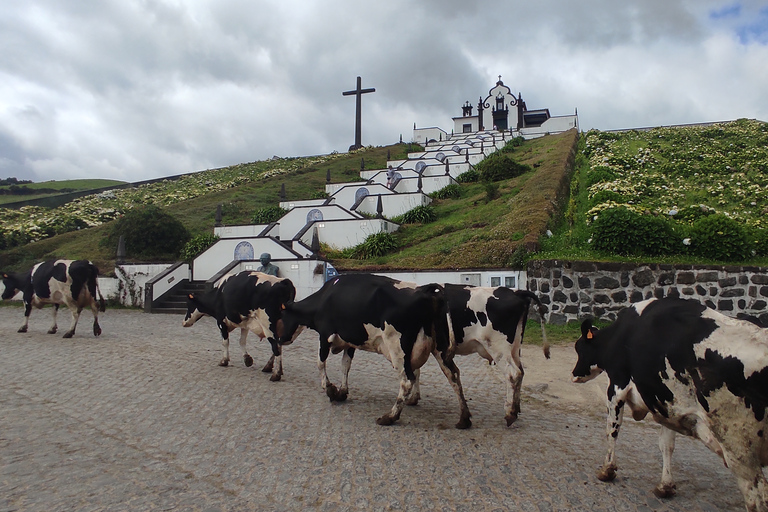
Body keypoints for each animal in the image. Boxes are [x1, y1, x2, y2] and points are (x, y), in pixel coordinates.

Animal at [280, 276, 472, 428]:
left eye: (282, 317)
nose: (281, 339)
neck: (325, 298)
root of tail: (425, 290)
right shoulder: (350, 341)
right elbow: (345, 365)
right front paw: (342, 391)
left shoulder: (325, 335)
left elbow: (320, 363)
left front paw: (330, 389)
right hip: (440, 348)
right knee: (453, 375)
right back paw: (464, 418)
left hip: (398, 348)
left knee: (407, 381)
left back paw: (390, 416)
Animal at [568, 298, 768, 510]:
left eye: (579, 348)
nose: (573, 374)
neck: (620, 335)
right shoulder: (667, 403)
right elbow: (666, 445)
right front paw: (665, 486)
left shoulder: (617, 385)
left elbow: (612, 430)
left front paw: (607, 470)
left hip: (738, 446)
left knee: (757, 496)